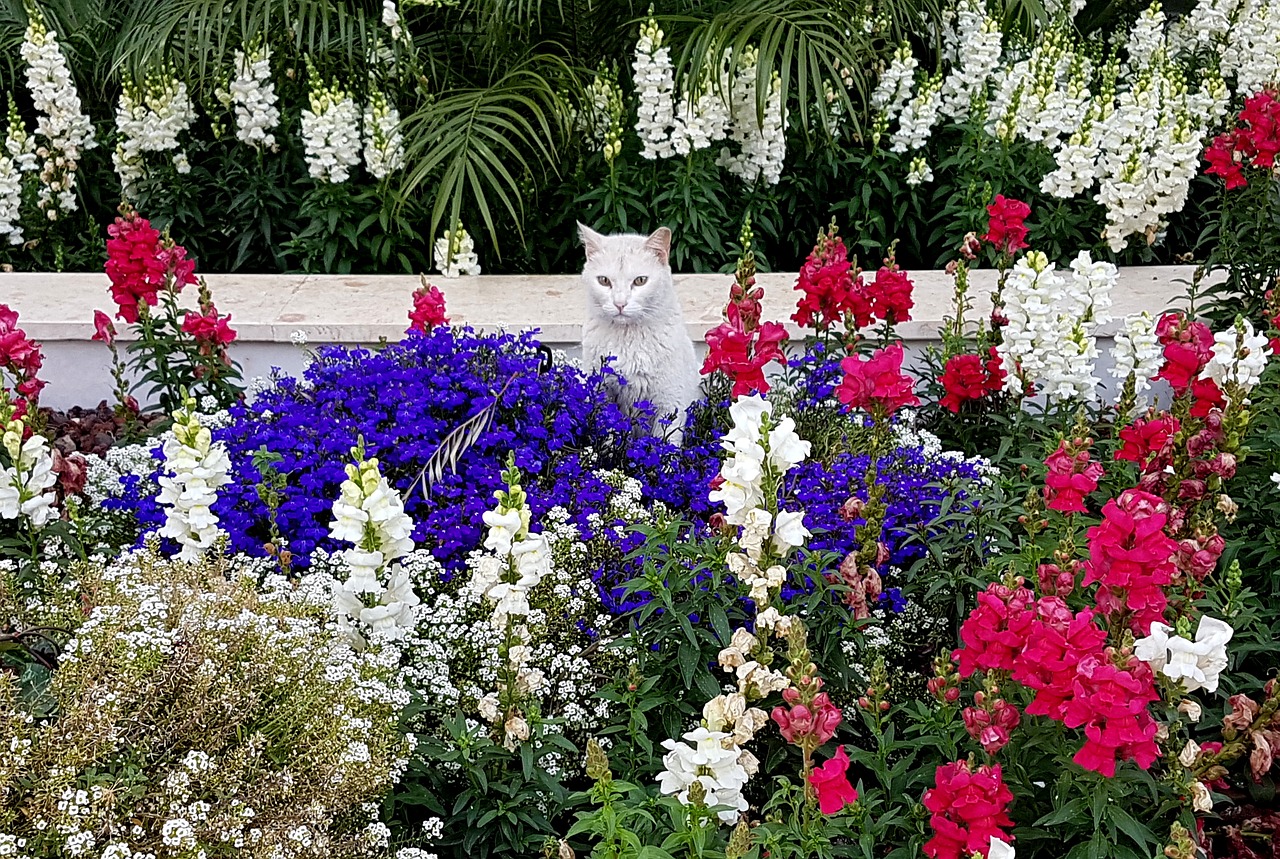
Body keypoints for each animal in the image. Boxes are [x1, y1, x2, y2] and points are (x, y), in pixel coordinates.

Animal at [578, 224, 701, 437]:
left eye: (640, 281)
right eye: (604, 281)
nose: (620, 303)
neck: (628, 338)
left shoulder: (670, 403)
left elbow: (664, 442)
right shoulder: (603, 396)